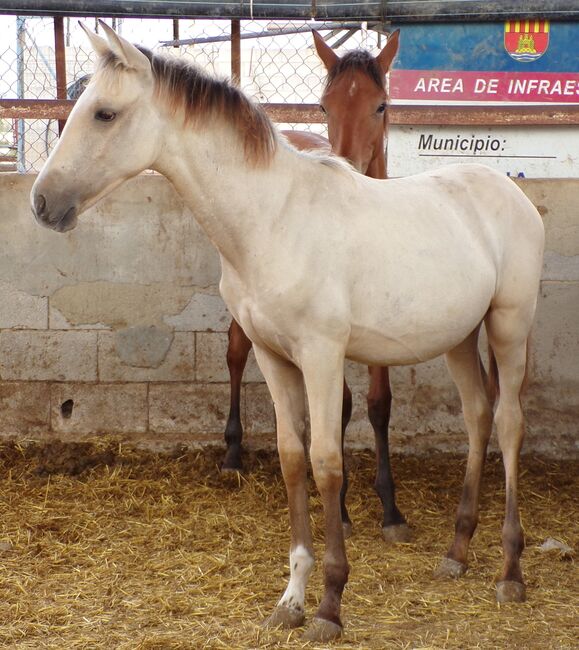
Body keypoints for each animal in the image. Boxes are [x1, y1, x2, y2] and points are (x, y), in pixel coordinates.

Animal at [222, 29, 408, 540]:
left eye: (381, 105)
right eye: (324, 106)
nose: (347, 165)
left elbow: (379, 403)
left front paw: (390, 507)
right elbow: (341, 405)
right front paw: (340, 508)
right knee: (235, 353)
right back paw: (231, 452)